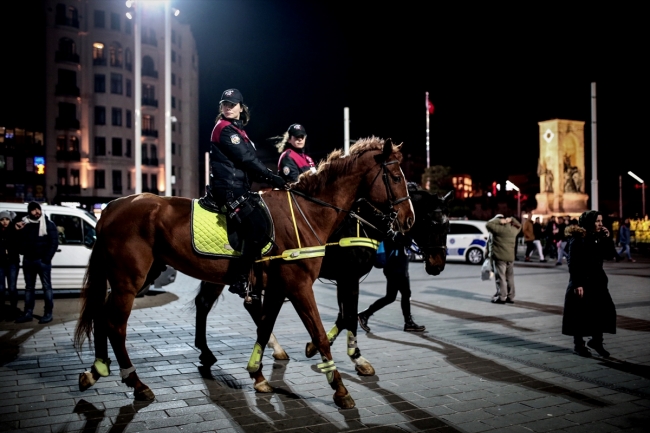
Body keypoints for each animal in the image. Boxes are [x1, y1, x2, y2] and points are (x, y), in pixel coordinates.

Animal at [73, 138, 412, 408]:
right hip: (128, 281)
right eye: (396, 176)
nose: (408, 219)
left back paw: (97, 370)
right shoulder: (303, 286)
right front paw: (339, 388)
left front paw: (258, 375)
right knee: (115, 324)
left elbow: (266, 325)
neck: (308, 213)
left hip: (152, 276)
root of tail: (110, 209)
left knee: (108, 316)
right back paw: (136, 382)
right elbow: (322, 330)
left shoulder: (281, 287)